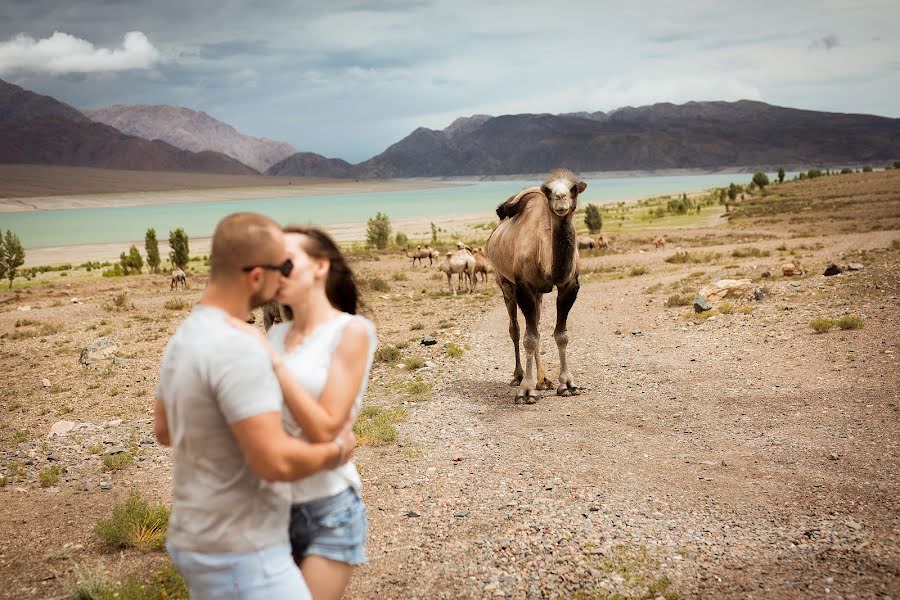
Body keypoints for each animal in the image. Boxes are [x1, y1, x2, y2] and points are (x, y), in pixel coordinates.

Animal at [486, 169, 584, 404]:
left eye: (574, 189)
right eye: (549, 191)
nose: (560, 198)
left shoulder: (569, 285)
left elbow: (561, 334)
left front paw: (567, 384)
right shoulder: (524, 286)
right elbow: (529, 338)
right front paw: (526, 391)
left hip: (538, 293)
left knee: (536, 325)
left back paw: (544, 380)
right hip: (504, 283)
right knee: (515, 329)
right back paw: (518, 376)